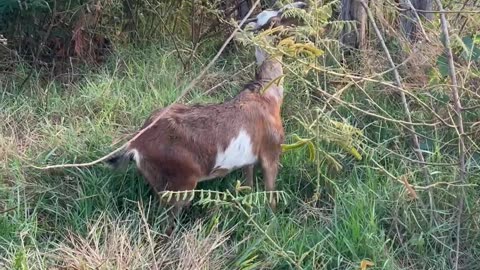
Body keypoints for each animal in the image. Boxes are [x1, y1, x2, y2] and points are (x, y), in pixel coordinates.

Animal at [106, 44, 284, 232]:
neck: (266, 95)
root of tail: (135, 145)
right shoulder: (271, 152)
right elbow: (271, 192)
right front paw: (272, 221)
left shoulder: (248, 159)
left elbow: (248, 186)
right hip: (180, 185)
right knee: (166, 221)